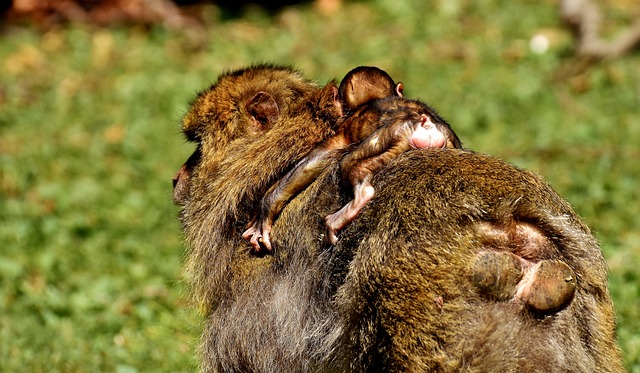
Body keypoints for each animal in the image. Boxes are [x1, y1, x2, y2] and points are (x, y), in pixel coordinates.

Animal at [244, 67, 460, 250]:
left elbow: (313, 161)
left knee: (350, 164)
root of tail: (425, 124)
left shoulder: (343, 130)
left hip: (393, 136)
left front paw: (265, 209)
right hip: (446, 140)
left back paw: (349, 207)